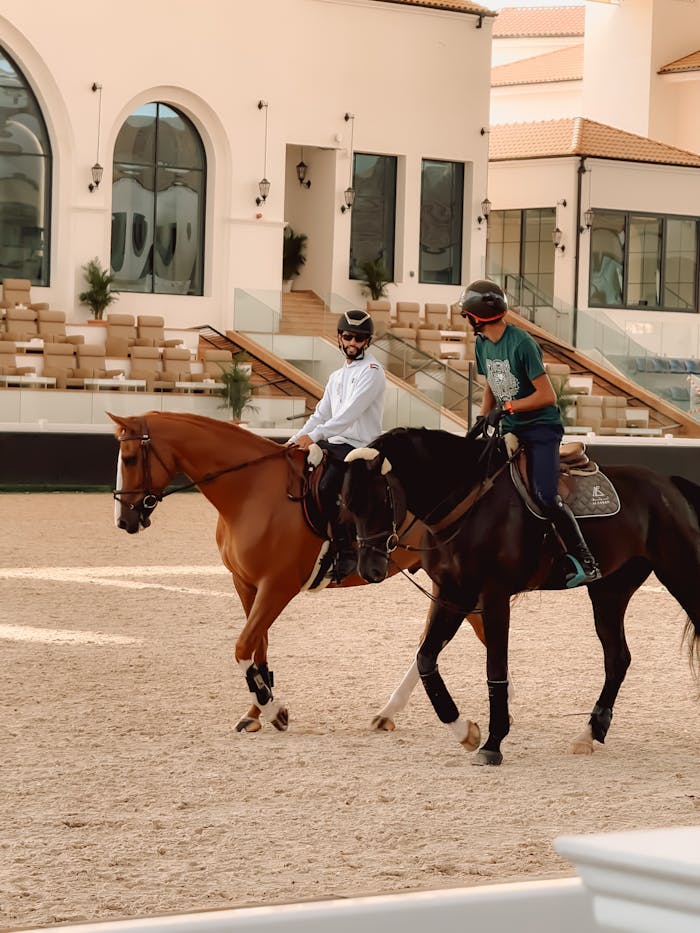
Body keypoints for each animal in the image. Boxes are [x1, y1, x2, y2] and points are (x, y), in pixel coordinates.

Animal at [109, 411, 486, 734]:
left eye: (130, 459)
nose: (124, 520)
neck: (251, 489)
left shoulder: (277, 587)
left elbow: (243, 647)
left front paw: (274, 710)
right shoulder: (246, 584)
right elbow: (257, 649)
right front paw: (255, 713)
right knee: (429, 641)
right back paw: (389, 713)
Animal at [341, 426, 700, 765]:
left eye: (380, 500)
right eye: (347, 505)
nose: (369, 569)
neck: (468, 501)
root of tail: (668, 484)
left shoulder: (493, 595)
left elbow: (495, 669)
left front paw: (492, 744)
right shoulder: (454, 592)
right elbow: (426, 658)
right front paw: (465, 731)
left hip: (681, 575)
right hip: (610, 591)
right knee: (617, 659)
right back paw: (589, 733)